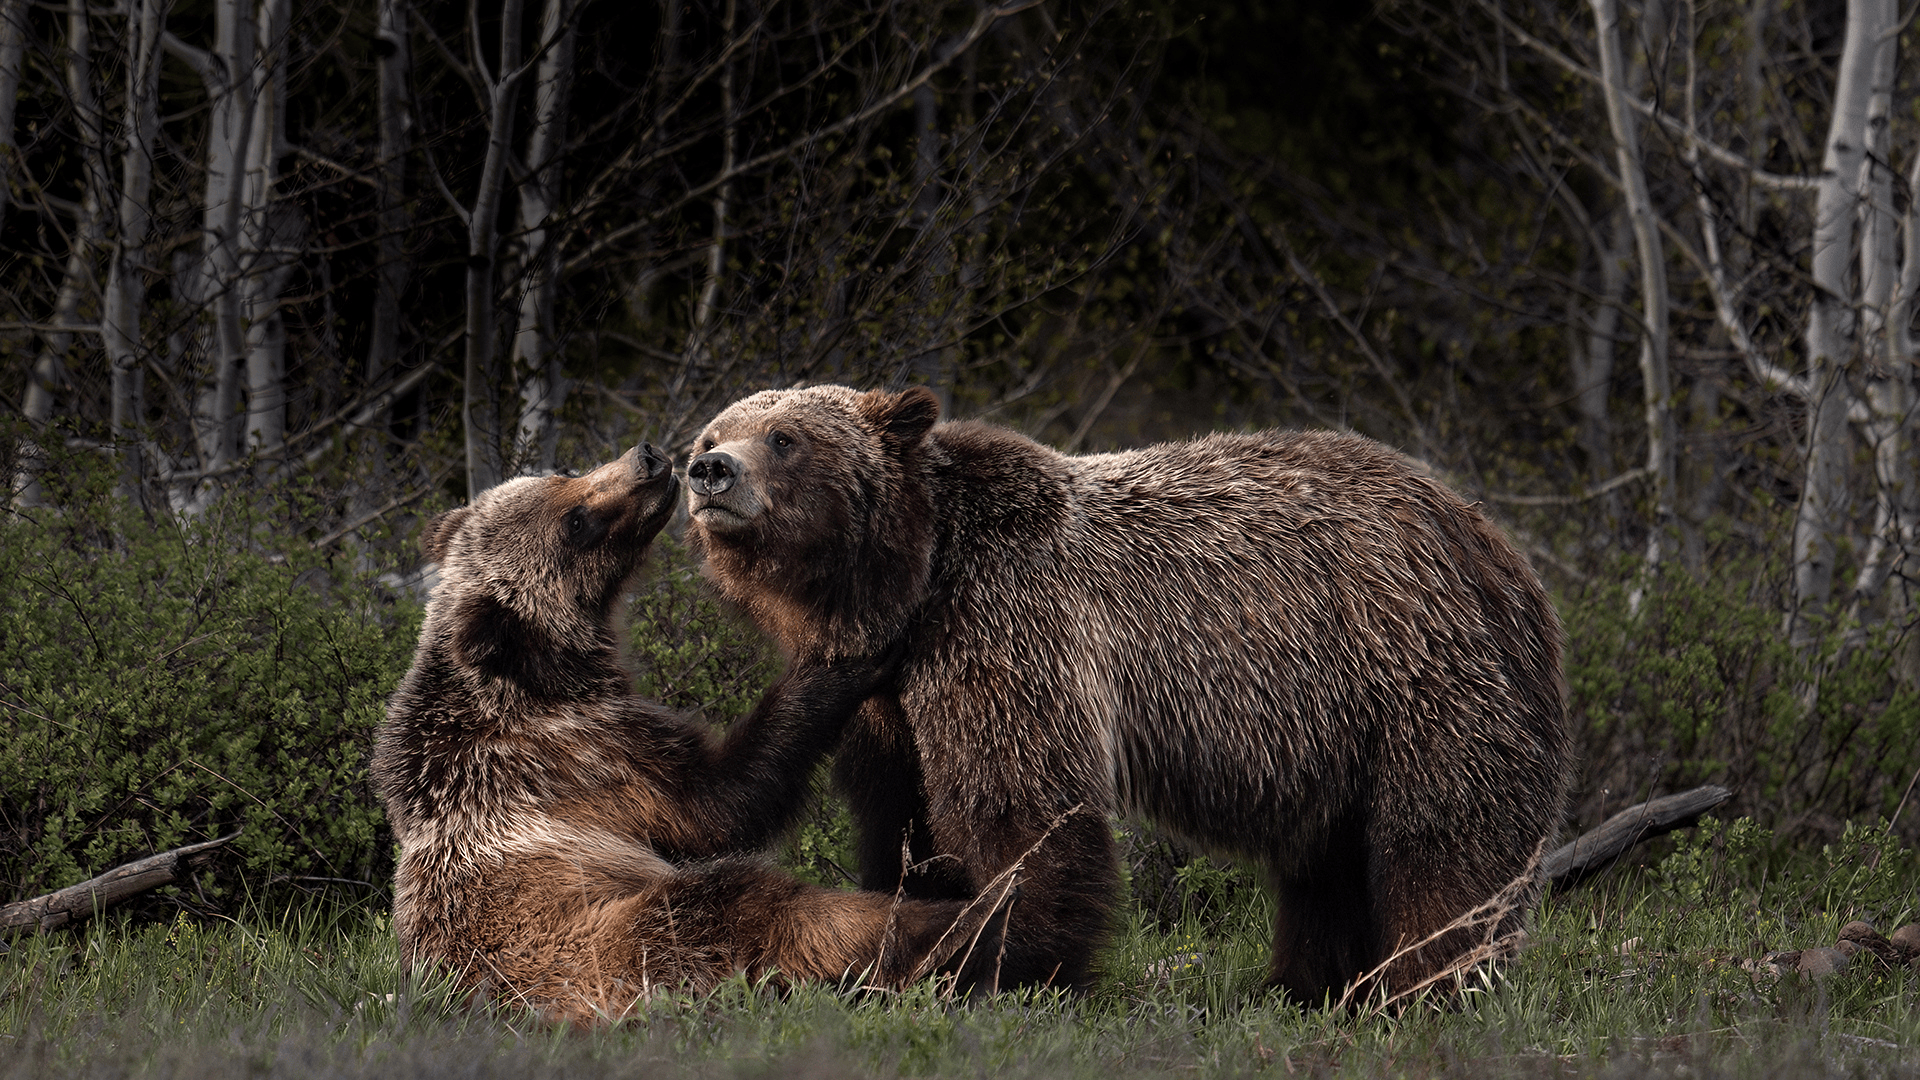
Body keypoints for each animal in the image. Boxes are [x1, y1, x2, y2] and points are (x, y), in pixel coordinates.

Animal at [369, 442, 999, 1025]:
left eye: (564, 474)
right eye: (575, 523)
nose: (646, 460)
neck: (540, 676)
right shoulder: (589, 754)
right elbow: (720, 803)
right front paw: (849, 650)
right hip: (611, 945)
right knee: (756, 904)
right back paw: (955, 922)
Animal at [682, 385, 1573, 1006]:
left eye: (785, 437)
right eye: (713, 431)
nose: (710, 472)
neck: (915, 578)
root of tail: (1496, 543)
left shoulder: (1006, 623)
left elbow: (1022, 811)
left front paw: (997, 963)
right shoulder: (888, 696)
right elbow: (902, 817)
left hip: (1418, 675)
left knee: (1441, 845)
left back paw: (1425, 986)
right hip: (1340, 733)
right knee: (1327, 866)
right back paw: (1305, 987)